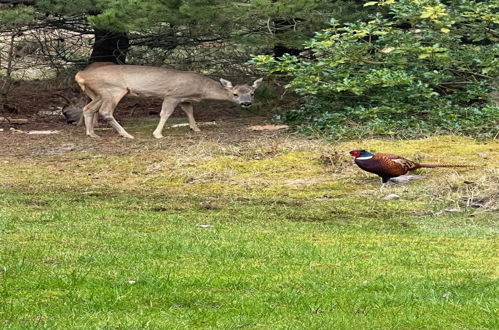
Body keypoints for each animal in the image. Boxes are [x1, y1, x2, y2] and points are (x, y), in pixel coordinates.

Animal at [76, 64, 264, 138]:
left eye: (252, 93)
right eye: (235, 94)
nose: (246, 103)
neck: (199, 89)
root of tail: (80, 75)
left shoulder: (184, 98)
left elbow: (189, 111)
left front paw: (196, 128)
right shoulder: (172, 95)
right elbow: (165, 113)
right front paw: (157, 134)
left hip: (98, 93)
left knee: (88, 108)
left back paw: (92, 133)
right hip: (113, 89)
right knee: (105, 111)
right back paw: (126, 134)